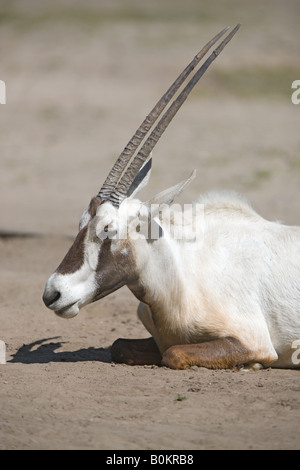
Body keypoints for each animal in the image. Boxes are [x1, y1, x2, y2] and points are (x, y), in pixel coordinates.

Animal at [42, 25, 300, 370]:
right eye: (81, 221)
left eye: (108, 229)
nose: (52, 294)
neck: (179, 279)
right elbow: (119, 346)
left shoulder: (254, 341)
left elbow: (174, 353)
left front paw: (251, 365)